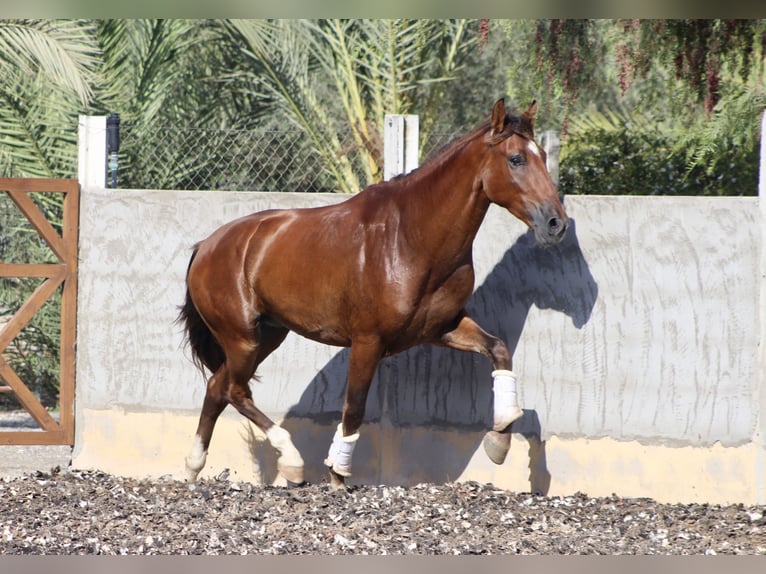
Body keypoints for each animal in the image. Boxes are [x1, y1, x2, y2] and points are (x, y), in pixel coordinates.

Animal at [177, 100, 568, 490]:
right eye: (516, 159)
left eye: (543, 154)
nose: (556, 223)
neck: (410, 237)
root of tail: (206, 246)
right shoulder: (368, 341)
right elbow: (354, 409)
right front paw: (337, 475)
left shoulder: (441, 328)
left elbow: (499, 350)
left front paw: (499, 439)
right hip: (243, 338)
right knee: (234, 389)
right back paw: (291, 462)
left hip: (269, 335)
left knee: (217, 386)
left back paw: (193, 468)